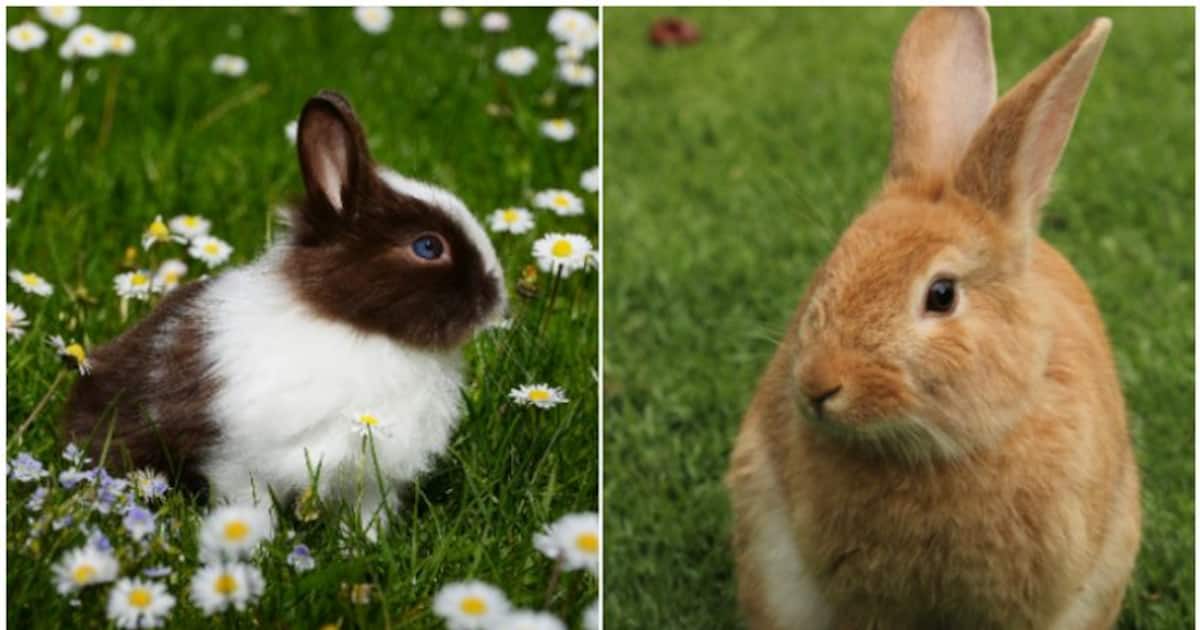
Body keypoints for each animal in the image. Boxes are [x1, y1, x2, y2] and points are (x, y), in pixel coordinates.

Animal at [65, 91, 507, 535]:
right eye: (428, 247)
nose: (496, 297)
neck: (355, 327)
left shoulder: (370, 479)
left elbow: (365, 516)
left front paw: (361, 544)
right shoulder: (240, 463)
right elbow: (248, 507)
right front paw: (254, 542)